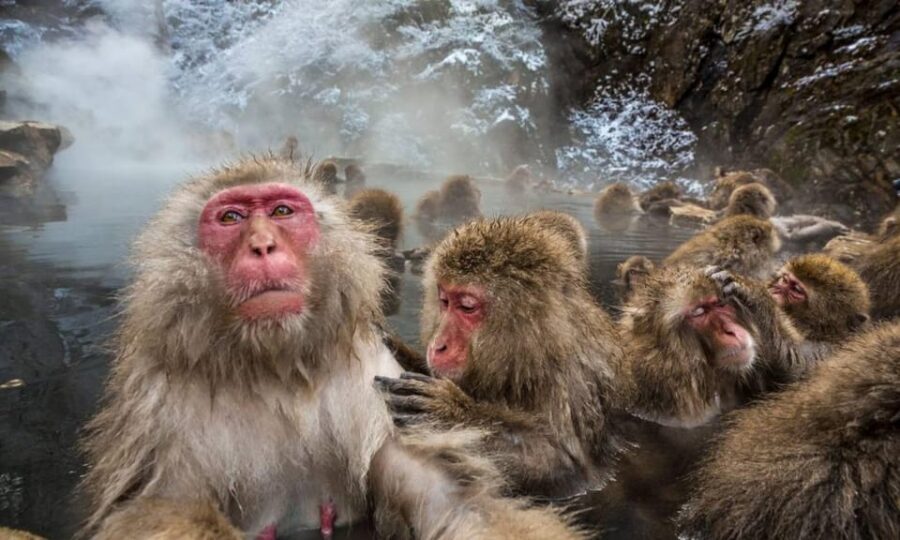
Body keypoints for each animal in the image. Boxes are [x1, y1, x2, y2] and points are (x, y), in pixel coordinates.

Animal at [79, 157, 583, 540]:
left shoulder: (375, 383)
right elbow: (162, 507)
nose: (262, 246)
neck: (277, 368)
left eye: (282, 211)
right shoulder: (159, 405)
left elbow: (451, 499)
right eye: (230, 219)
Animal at [376, 216, 624, 499]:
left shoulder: (568, 385)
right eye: (444, 301)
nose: (438, 346)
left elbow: (566, 468)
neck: (534, 354)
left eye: (467, 307)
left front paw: (451, 415)